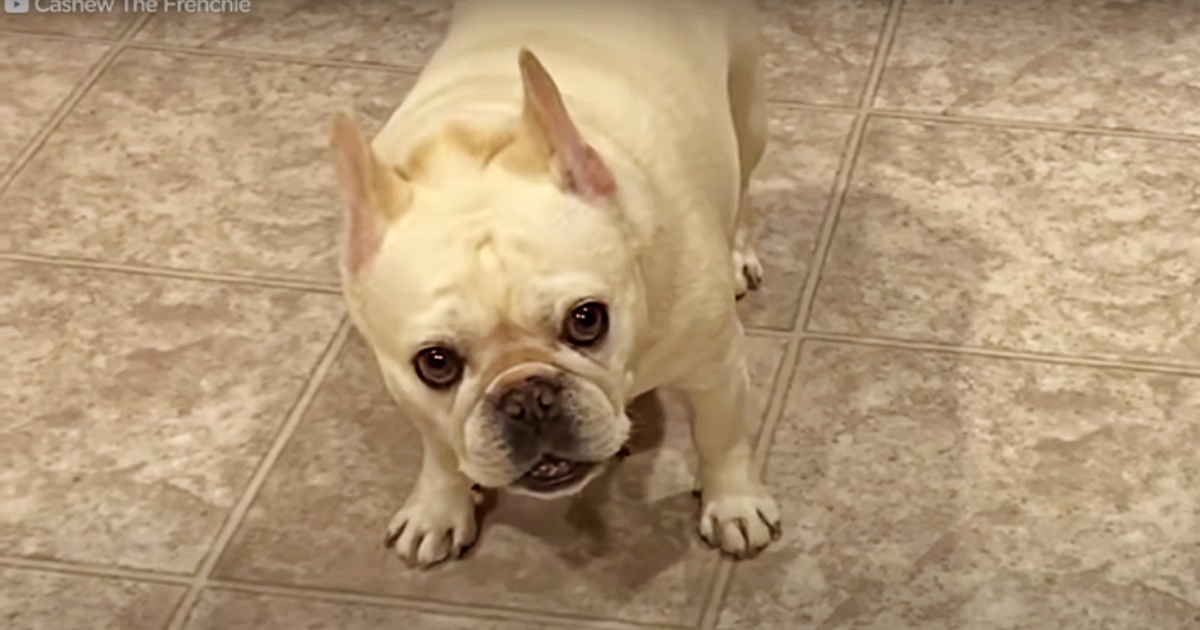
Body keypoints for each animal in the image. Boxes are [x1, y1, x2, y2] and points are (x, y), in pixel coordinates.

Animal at [329, 0, 780, 569]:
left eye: (587, 319)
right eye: (435, 363)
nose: (526, 397)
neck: (468, 156)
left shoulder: (715, 368)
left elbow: (721, 436)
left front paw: (733, 504)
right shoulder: (412, 395)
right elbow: (440, 450)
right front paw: (438, 507)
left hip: (747, 111)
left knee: (742, 182)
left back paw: (738, 251)